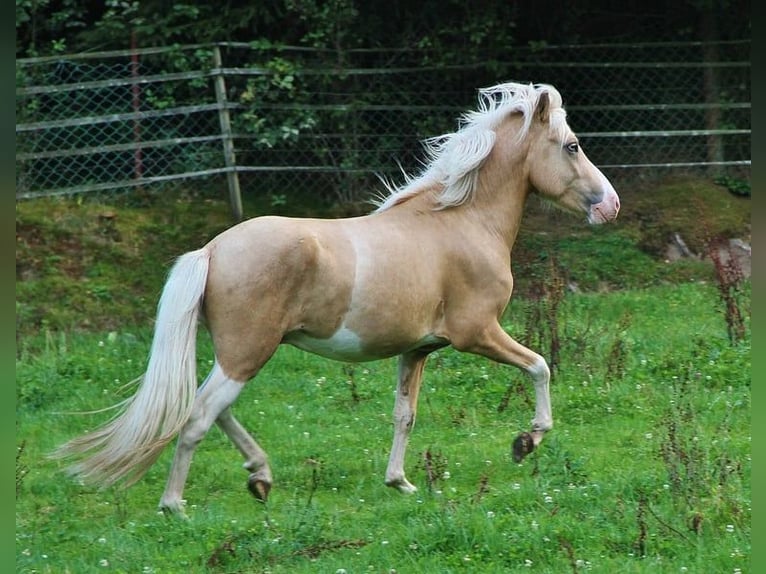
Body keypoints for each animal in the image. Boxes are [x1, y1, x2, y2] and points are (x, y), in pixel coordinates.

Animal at [54, 82, 620, 518]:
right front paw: (527, 441)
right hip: (248, 353)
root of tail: (212, 250)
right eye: (572, 146)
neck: (460, 222)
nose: (610, 206)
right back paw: (176, 506)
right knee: (198, 417)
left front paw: (400, 482)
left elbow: (404, 415)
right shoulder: (476, 332)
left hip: (237, 353)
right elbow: (540, 366)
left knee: (210, 409)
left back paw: (260, 476)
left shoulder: (418, 350)